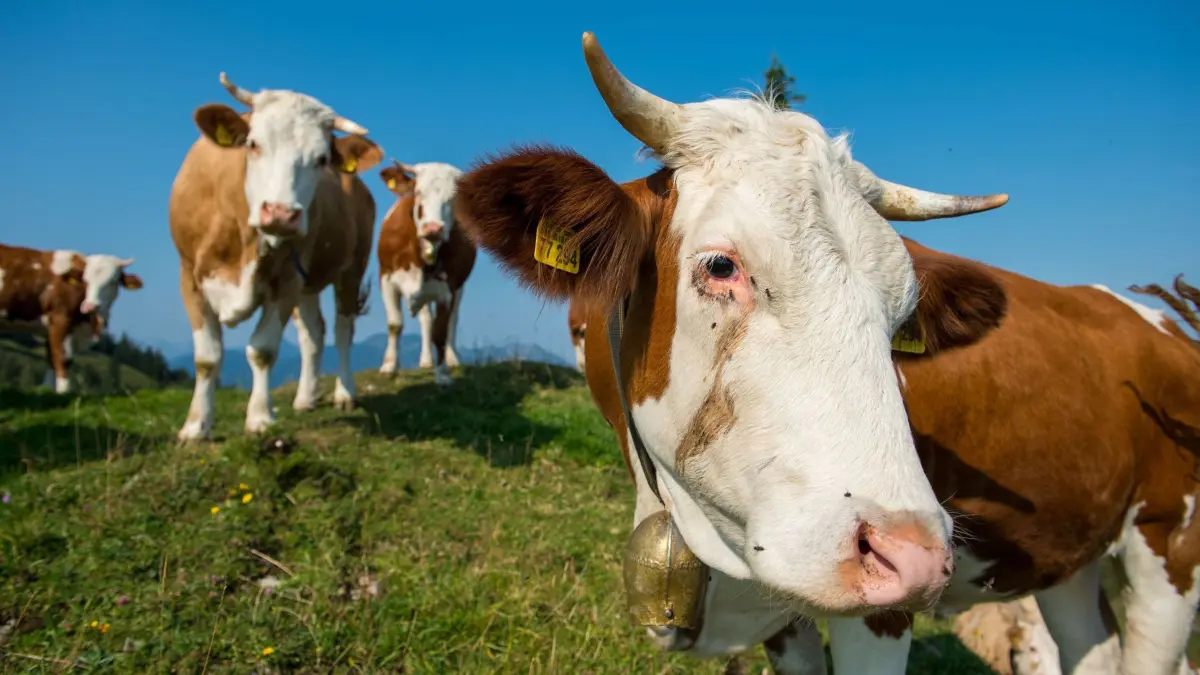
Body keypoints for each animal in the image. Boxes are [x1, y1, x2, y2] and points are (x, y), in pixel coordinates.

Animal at [0, 243, 142, 393]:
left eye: (113, 281)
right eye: (86, 280)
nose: (90, 306)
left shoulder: (50, 328)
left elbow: (51, 360)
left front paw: (48, 391)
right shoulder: (61, 319)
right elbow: (63, 359)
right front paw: (64, 392)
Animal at [169, 73, 382, 441]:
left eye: (321, 159)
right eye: (253, 144)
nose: (282, 213)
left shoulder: (287, 280)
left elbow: (263, 350)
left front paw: (259, 418)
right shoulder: (189, 275)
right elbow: (207, 357)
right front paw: (196, 427)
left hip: (350, 268)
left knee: (342, 329)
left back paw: (345, 393)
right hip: (309, 281)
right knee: (313, 333)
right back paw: (306, 397)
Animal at [376, 160, 477, 386]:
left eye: (453, 199)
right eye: (418, 192)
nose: (433, 228)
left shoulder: (448, 288)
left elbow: (441, 331)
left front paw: (443, 374)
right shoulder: (387, 278)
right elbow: (395, 324)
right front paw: (389, 366)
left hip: (459, 288)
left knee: (452, 320)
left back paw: (452, 358)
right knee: (426, 319)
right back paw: (426, 361)